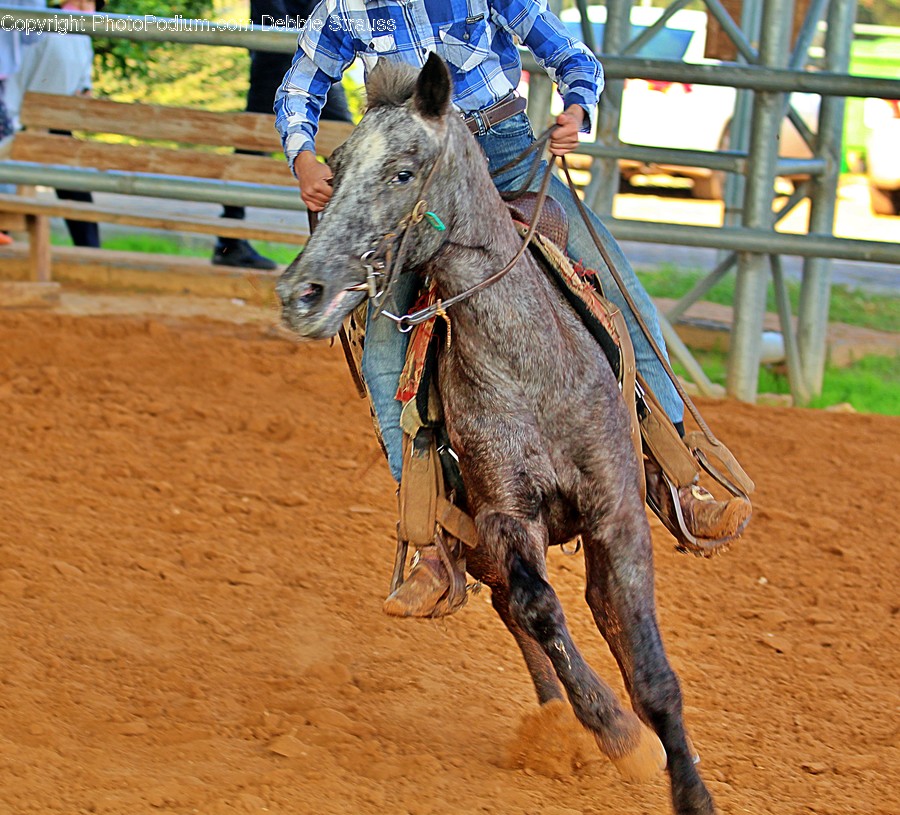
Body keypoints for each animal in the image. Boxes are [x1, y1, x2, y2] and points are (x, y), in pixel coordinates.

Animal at [277, 54, 717, 815]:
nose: (302, 292)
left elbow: (651, 663)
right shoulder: (504, 516)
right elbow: (539, 609)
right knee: (517, 606)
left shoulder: (617, 509)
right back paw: (560, 721)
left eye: (402, 171)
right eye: (333, 165)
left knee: (599, 608)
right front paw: (621, 738)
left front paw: (688, 788)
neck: (530, 364)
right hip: (475, 539)